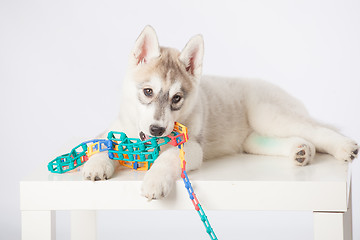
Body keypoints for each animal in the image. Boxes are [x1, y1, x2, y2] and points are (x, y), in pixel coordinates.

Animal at [82, 25, 358, 200]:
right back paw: (301, 151)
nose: (157, 129)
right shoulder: (113, 130)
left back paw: (344, 147)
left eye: (177, 98)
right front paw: (96, 164)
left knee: (317, 130)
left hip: (270, 115)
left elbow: (167, 158)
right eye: (148, 91)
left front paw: (154, 180)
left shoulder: (192, 148)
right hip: (252, 139)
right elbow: (100, 143)